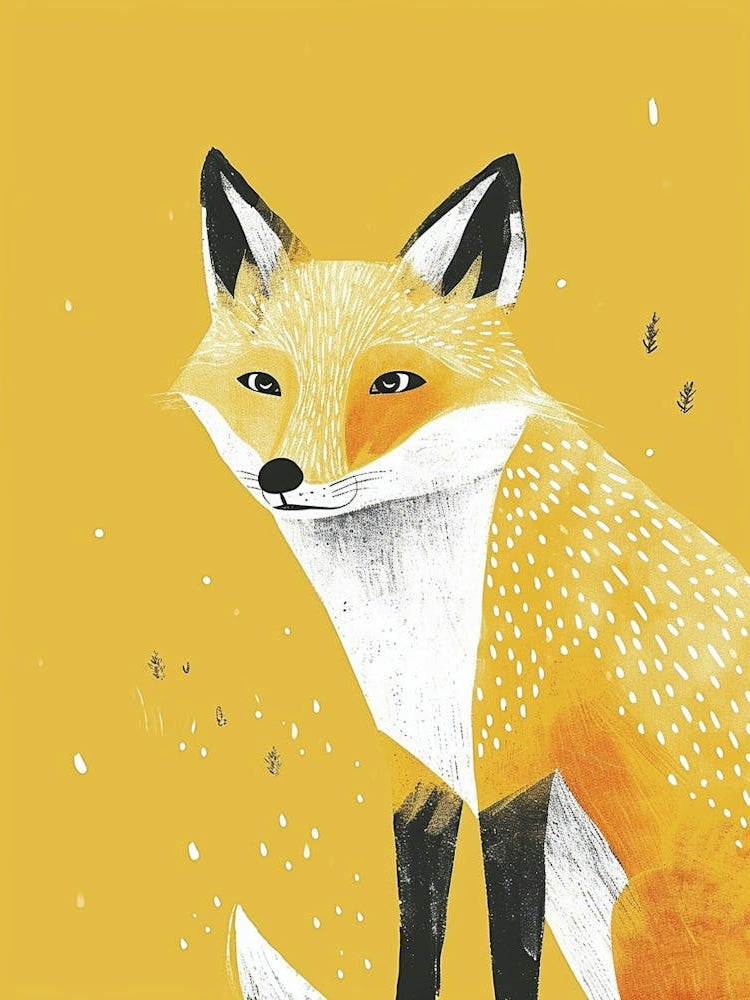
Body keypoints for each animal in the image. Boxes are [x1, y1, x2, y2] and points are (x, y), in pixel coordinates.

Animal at [170, 147, 750, 1000]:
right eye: (263, 384)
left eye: (392, 383)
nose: (283, 476)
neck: (415, 614)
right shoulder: (417, 767)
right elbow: (421, 937)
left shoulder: (514, 764)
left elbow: (512, 956)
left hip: (637, 924)